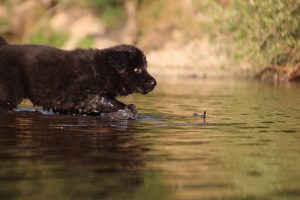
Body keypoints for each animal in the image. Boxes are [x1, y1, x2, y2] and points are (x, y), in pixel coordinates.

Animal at [0, 36, 155, 115]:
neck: (102, 69)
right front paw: (127, 108)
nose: (154, 83)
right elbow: (105, 99)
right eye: (137, 69)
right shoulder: (84, 94)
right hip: (8, 95)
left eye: (145, 67)